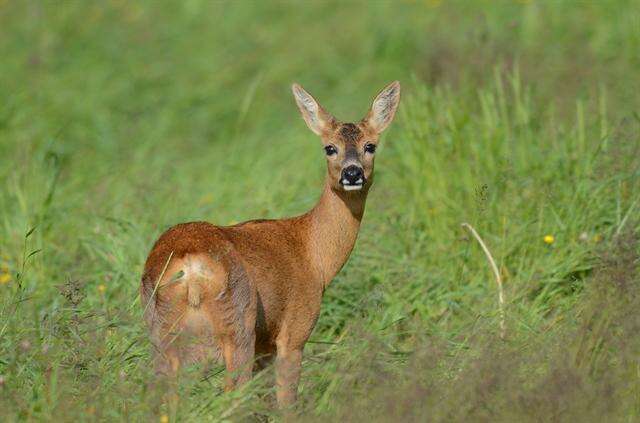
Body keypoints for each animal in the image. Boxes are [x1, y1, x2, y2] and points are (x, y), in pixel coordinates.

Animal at [141, 81, 400, 410]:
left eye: (371, 145)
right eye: (329, 148)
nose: (352, 173)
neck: (313, 252)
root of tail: (190, 267)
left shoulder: (265, 343)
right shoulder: (293, 330)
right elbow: (287, 403)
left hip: (159, 329)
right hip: (238, 323)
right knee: (232, 395)